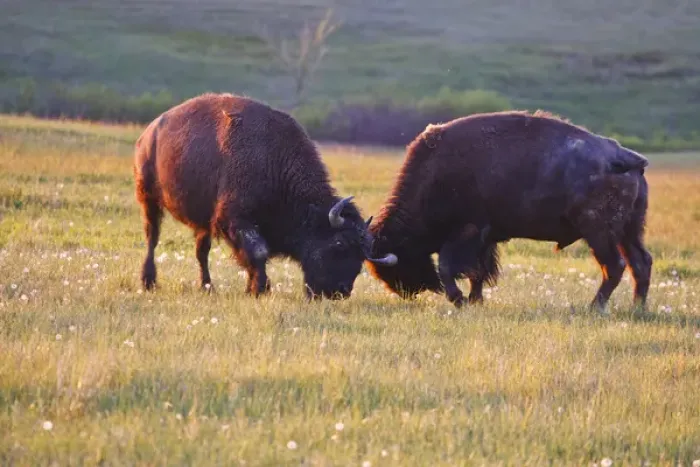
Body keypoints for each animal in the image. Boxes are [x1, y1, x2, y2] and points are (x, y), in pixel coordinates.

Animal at [133, 93, 397, 299]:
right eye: (339, 243)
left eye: (362, 257)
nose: (339, 292)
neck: (274, 163)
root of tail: (149, 132)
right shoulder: (235, 220)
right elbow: (258, 251)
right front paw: (260, 288)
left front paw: (253, 287)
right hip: (149, 199)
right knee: (152, 237)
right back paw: (149, 282)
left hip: (202, 221)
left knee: (201, 251)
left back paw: (207, 287)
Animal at [367, 110, 652, 312]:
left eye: (402, 258)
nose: (405, 291)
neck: (436, 175)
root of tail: (628, 159)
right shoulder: (485, 238)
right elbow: (478, 272)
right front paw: (475, 301)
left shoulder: (467, 231)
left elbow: (449, 267)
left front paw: (459, 300)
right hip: (629, 230)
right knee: (641, 262)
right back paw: (637, 307)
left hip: (598, 231)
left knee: (614, 265)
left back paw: (594, 307)